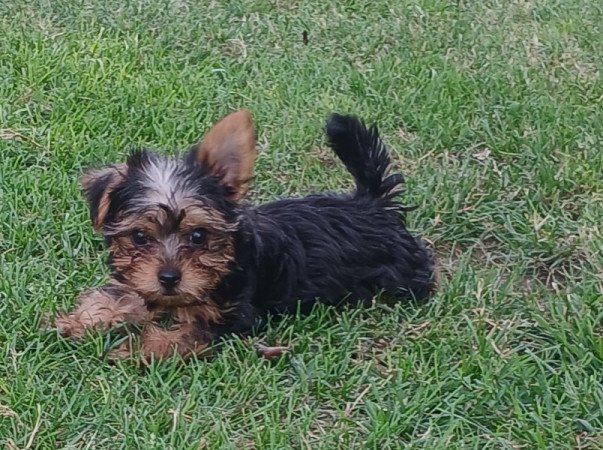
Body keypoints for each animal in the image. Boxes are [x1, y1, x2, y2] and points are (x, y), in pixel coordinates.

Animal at [55, 110, 434, 360]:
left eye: (198, 236)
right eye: (140, 238)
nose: (169, 278)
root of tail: (373, 203)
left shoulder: (230, 316)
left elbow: (182, 335)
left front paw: (134, 347)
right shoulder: (140, 284)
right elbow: (121, 294)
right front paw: (81, 321)